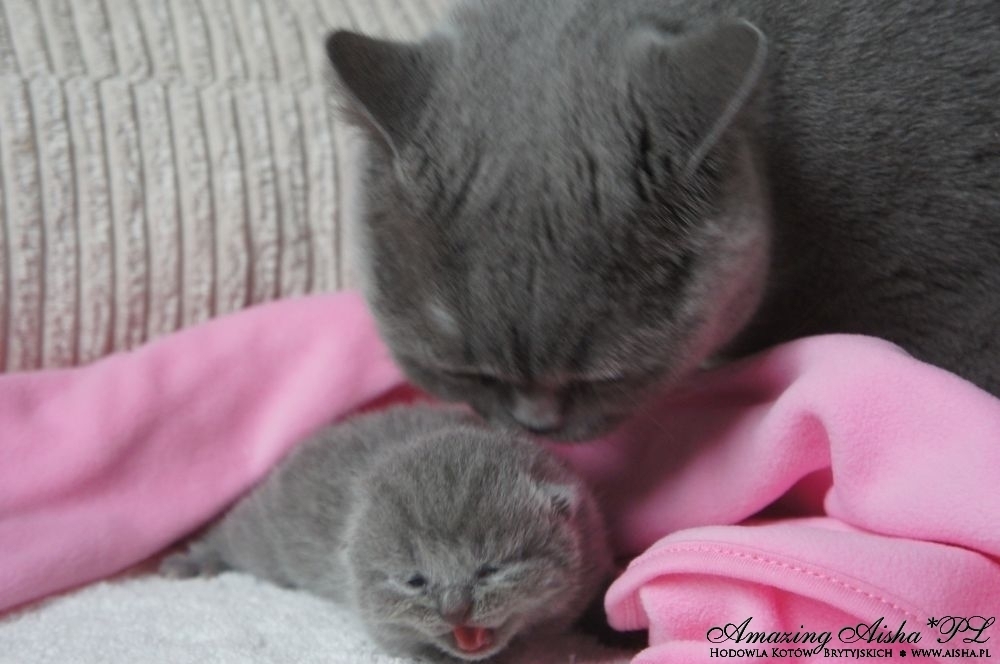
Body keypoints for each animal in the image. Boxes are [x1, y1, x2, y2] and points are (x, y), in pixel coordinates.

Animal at [160, 405, 613, 662]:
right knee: (232, 534)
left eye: (490, 570)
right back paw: (194, 559)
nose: (454, 611)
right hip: (264, 533)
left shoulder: (593, 537)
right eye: (415, 581)